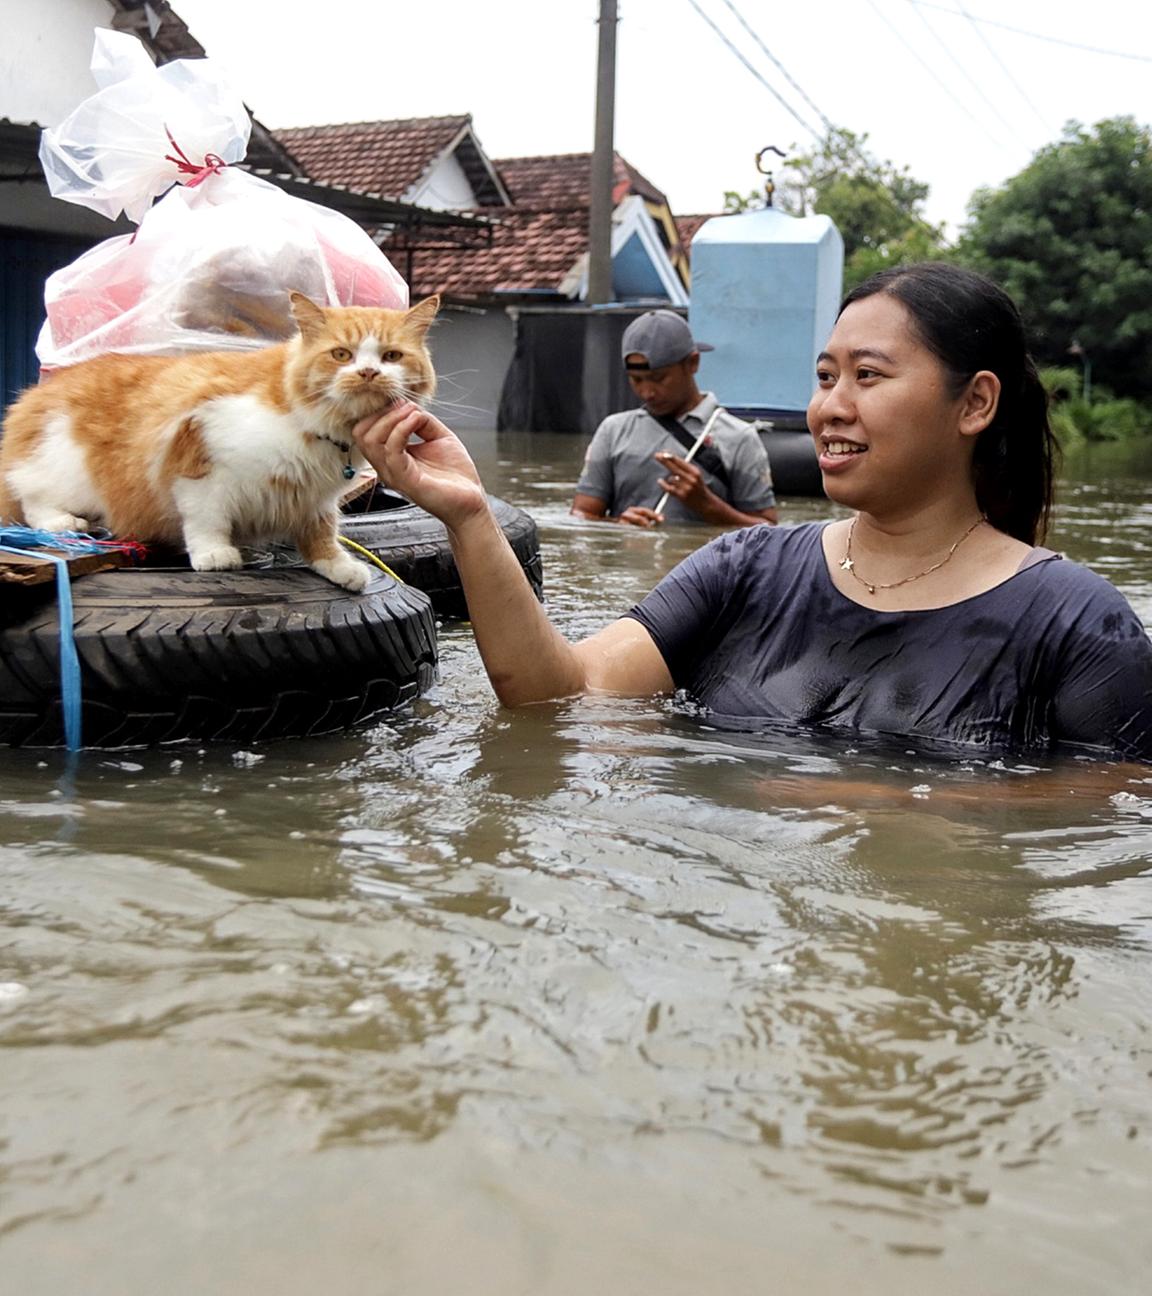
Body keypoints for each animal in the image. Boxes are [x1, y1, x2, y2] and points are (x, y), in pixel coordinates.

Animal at [0, 294, 437, 593]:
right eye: (341, 355)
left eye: (391, 356)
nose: (368, 373)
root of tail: (31, 398)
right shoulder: (200, 459)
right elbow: (207, 519)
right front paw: (215, 555)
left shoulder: (315, 499)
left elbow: (322, 536)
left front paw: (338, 566)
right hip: (64, 465)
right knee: (30, 498)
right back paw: (63, 522)